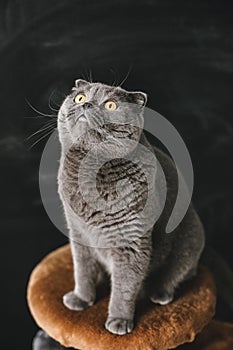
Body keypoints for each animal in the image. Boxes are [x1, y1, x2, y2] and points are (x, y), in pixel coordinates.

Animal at [57, 78, 205, 334]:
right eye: (79, 97)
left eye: (110, 105)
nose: (86, 105)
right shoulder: (78, 233)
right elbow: (83, 270)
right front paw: (81, 299)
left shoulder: (132, 242)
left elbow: (124, 288)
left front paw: (118, 321)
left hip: (190, 241)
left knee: (179, 273)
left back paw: (160, 293)